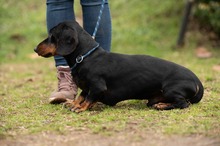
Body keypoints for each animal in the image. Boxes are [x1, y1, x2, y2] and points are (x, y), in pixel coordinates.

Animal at [34, 20, 205, 112]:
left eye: (51, 36)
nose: (35, 49)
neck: (86, 57)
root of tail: (196, 80)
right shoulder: (87, 87)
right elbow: (82, 95)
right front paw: (74, 103)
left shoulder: (97, 87)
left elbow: (88, 97)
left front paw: (80, 108)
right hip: (155, 97)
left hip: (171, 89)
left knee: (184, 104)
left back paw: (162, 106)